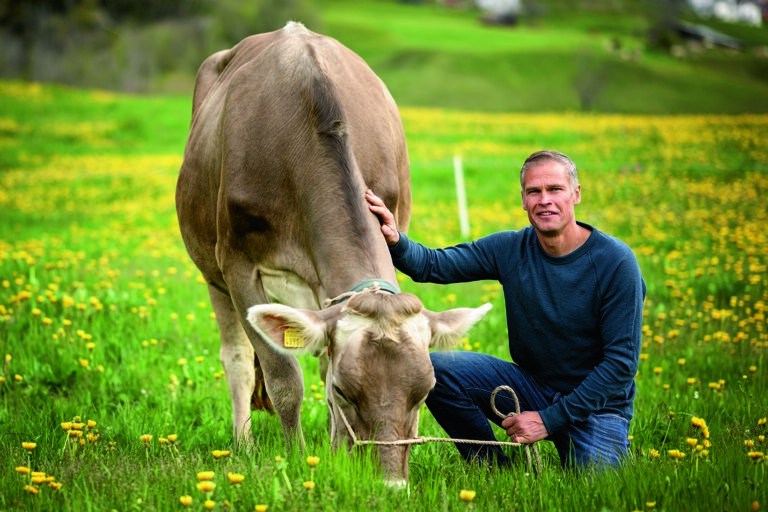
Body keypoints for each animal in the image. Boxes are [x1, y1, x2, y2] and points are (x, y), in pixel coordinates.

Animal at [176, 23, 492, 484]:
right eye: (346, 391)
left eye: (424, 393)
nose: (389, 485)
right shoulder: (239, 267)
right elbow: (283, 378)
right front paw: (296, 460)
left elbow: (322, 365)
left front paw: (334, 456)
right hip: (211, 271)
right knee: (237, 358)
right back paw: (244, 444)